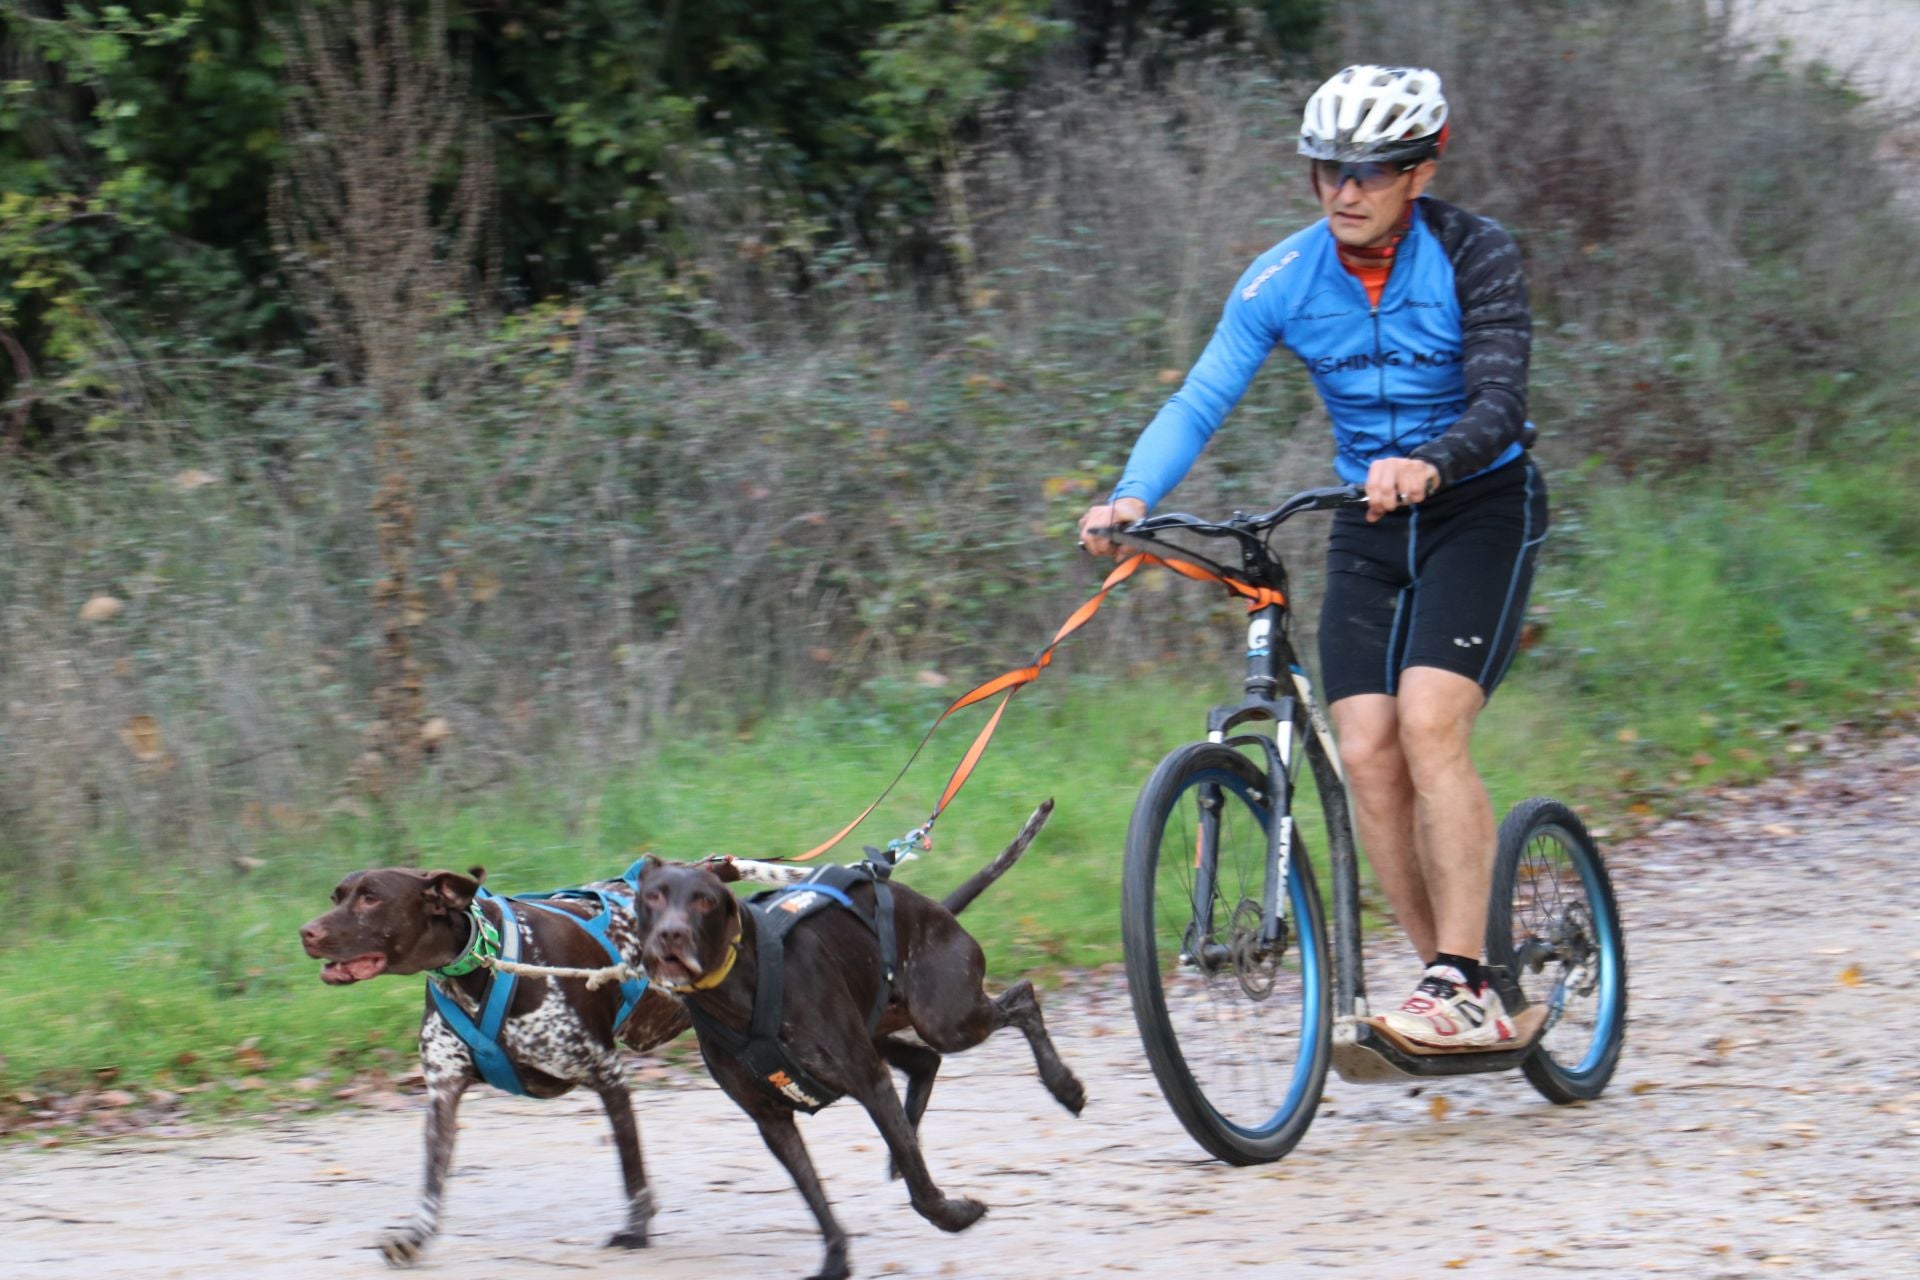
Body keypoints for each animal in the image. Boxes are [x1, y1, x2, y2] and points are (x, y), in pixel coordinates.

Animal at [299, 867, 691, 1266]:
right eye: (336, 897)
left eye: (371, 898)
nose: (306, 933)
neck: (481, 958)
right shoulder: (443, 1092)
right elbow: (432, 1178)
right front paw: (416, 1234)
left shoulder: (607, 1076)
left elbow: (632, 1168)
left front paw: (637, 1230)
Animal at [633, 802, 1075, 1280]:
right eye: (653, 896)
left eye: (705, 900)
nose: (671, 935)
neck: (739, 985)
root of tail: (938, 910)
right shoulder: (772, 1121)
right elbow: (816, 1199)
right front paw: (836, 1260)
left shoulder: (869, 1082)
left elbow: (921, 1192)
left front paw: (954, 1216)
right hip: (881, 1029)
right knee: (926, 1064)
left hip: (945, 1019)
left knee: (1023, 998)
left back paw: (1065, 1085)